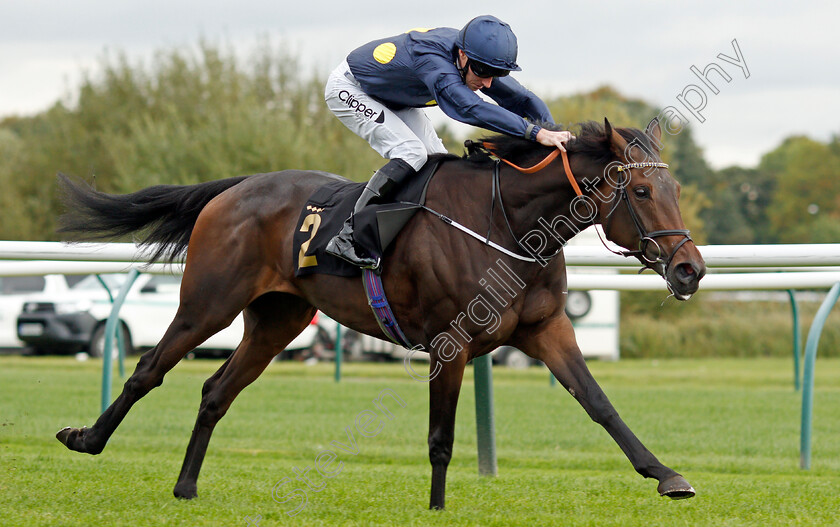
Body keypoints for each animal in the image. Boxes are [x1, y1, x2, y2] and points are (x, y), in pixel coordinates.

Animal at [55, 117, 704, 510]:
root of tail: (233, 189)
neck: (509, 225)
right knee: (149, 369)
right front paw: (438, 508)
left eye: (675, 189)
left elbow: (599, 403)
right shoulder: (451, 341)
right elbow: (441, 436)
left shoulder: (546, 329)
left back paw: (186, 486)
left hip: (278, 318)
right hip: (207, 303)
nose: (690, 269)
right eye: (641, 193)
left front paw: (667, 475)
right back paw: (85, 438)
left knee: (216, 391)